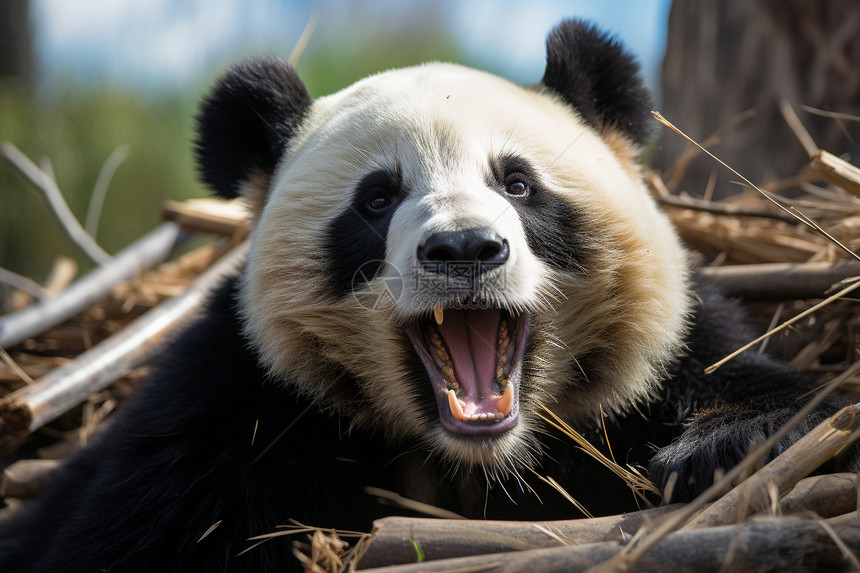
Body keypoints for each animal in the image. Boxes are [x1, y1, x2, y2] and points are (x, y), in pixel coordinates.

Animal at [0, 17, 848, 572]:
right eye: (377, 199)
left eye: (517, 182)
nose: (464, 250)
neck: (473, 461)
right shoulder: (234, 406)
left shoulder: (672, 350)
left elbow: (793, 403)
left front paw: (720, 447)